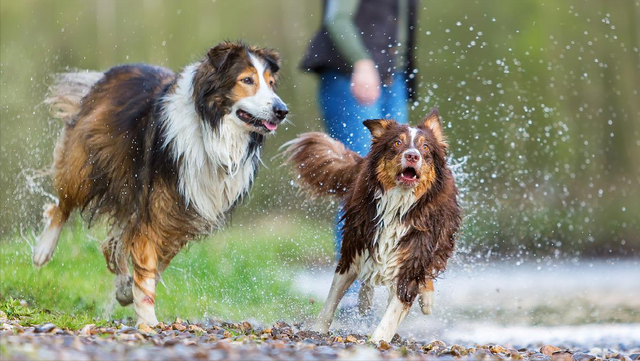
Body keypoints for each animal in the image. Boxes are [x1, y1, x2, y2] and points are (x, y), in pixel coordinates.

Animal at [32, 42, 288, 326]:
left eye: (271, 83)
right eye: (247, 80)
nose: (282, 111)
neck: (210, 132)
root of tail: (109, 73)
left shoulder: (183, 214)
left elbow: (153, 266)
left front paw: (129, 292)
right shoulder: (153, 208)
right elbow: (147, 267)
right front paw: (148, 321)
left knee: (112, 245)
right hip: (86, 165)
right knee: (63, 204)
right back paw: (43, 250)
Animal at [284, 111, 460, 342]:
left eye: (425, 147)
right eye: (397, 143)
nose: (413, 156)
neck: (398, 206)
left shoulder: (412, 256)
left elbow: (393, 311)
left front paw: (377, 340)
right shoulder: (356, 243)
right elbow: (333, 296)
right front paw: (318, 330)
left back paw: (427, 300)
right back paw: (364, 300)